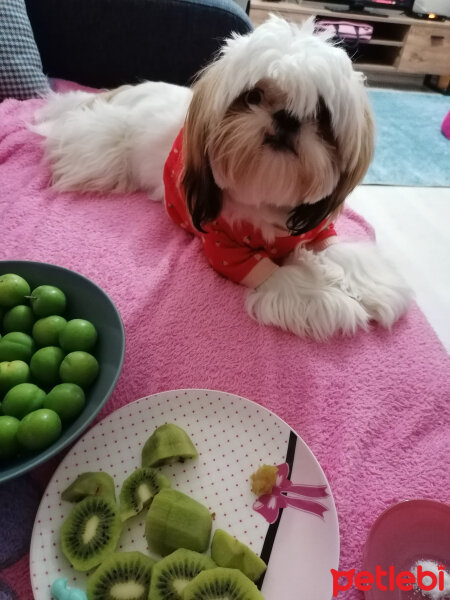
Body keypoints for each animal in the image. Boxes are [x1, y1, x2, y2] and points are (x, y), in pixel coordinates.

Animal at [34, 15, 412, 338]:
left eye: (320, 112)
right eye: (253, 95)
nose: (287, 118)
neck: (267, 197)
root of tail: (122, 91)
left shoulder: (316, 228)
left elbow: (342, 253)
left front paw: (371, 287)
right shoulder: (224, 249)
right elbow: (286, 279)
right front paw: (335, 300)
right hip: (104, 147)